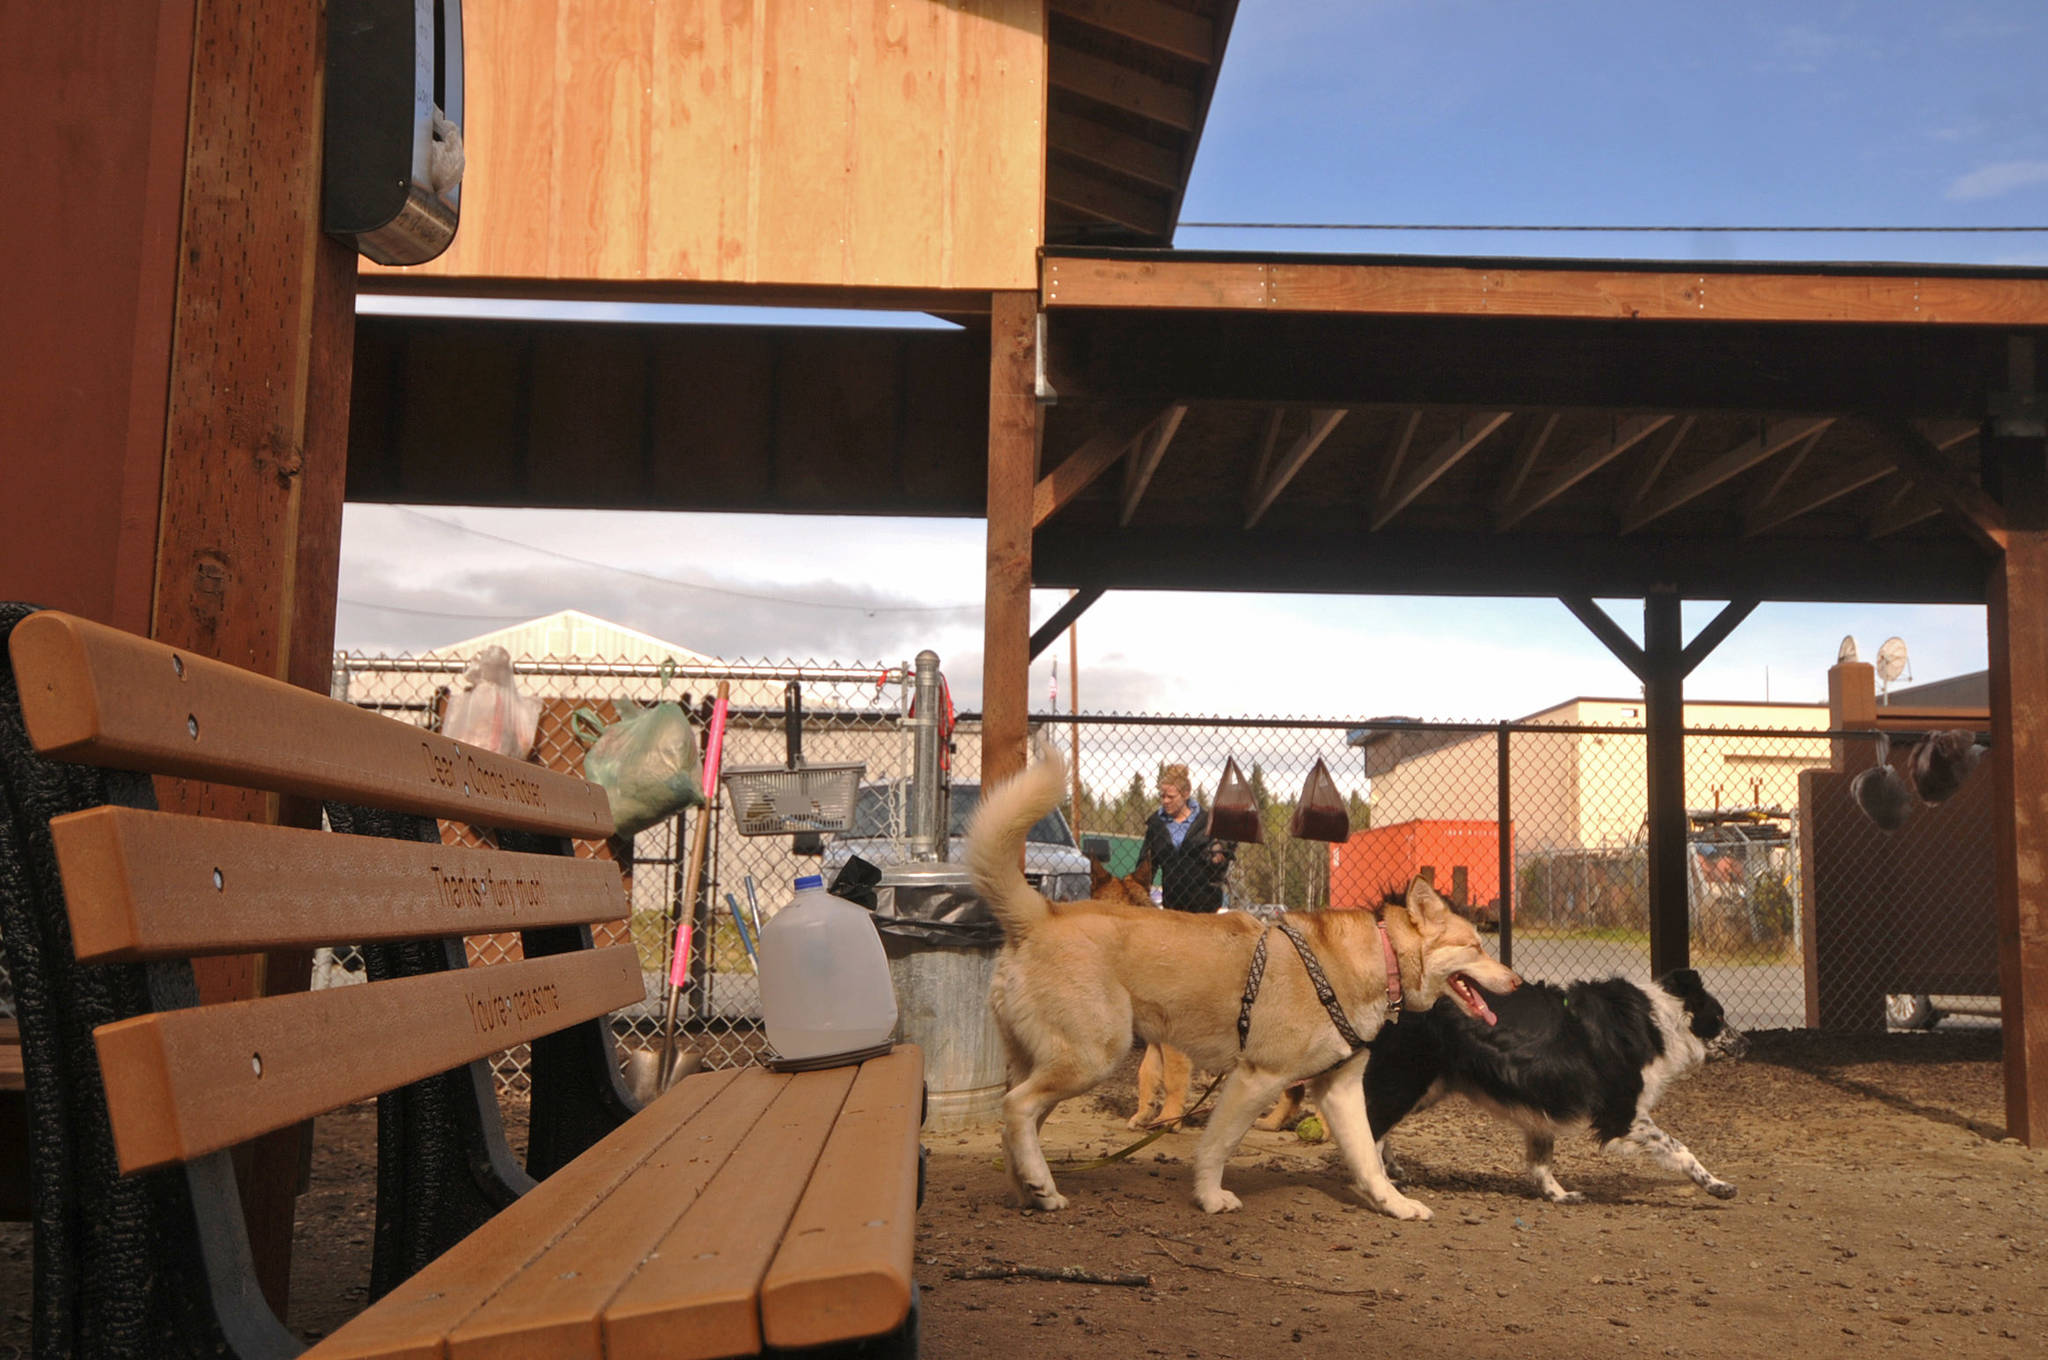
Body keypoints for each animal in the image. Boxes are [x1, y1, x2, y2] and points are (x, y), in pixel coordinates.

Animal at [962, 745, 1523, 1220]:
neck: (1372, 958)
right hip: (1092, 1057)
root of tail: (1043, 914)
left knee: (1017, 1125)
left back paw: (1031, 1191)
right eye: (1476, 947)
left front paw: (1396, 1205)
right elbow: (1217, 1146)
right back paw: (1041, 1184)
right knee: (1015, 1108)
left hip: (1056, 1062)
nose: (1517, 981)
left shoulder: (1339, 1091)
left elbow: (1369, 1160)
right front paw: (1210, 1198)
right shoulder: (1255, 1078)